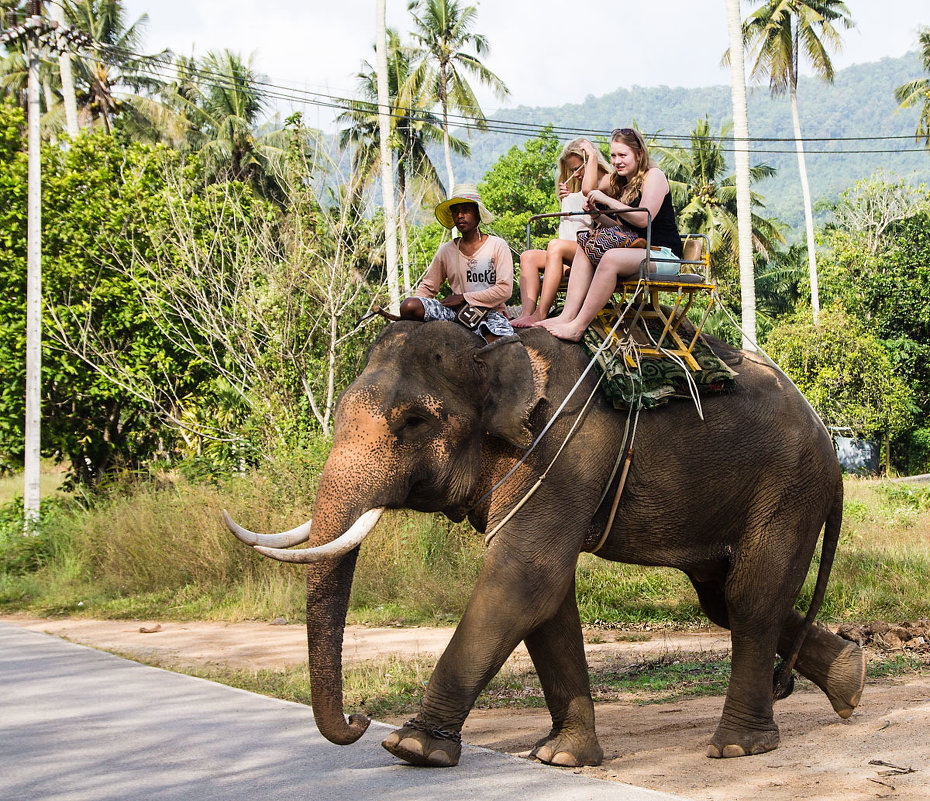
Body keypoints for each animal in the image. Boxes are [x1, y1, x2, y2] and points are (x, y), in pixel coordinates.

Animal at [223, 318, 864, 768]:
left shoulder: (561, 450)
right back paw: (850, 680)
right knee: (721, 597)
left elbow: (525, 579)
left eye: (413, 421)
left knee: (750, 597)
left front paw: (412, 749)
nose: (358, 719)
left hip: (787, 488)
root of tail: (832, 450)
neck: (491, 346)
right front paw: (561, 758)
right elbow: (548, 599)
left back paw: (738, 748)